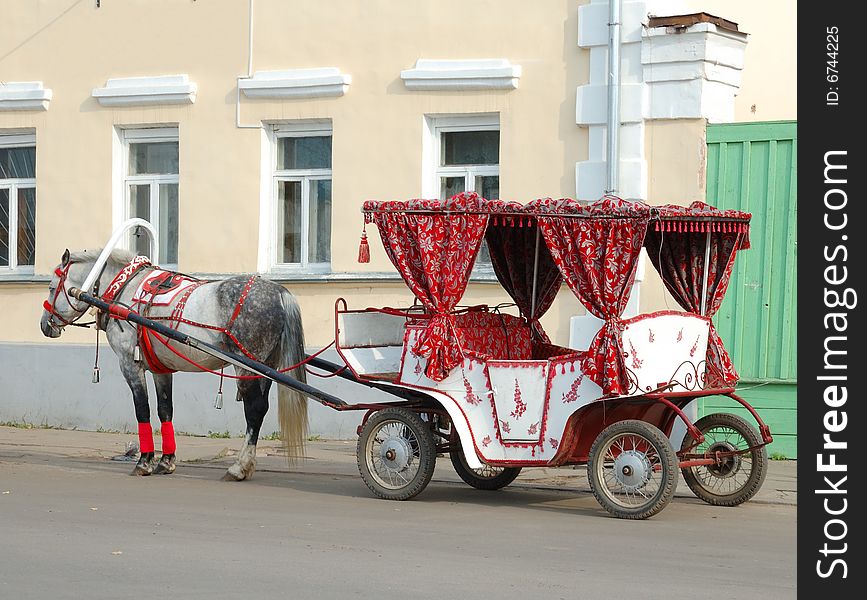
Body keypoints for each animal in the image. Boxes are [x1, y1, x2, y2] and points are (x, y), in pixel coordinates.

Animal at [39, 248, 308, 478]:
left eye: (51, 288)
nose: (44, 325)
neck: (125, 289)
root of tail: (280, 292)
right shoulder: (161, 369)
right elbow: (165, 409)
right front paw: (166, 461)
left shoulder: (130, 364)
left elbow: (142, 409)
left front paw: (144, 461)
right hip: (267, 368)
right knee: (261, 409)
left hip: (246, 367)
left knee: (254, 410)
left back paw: (239, 467)